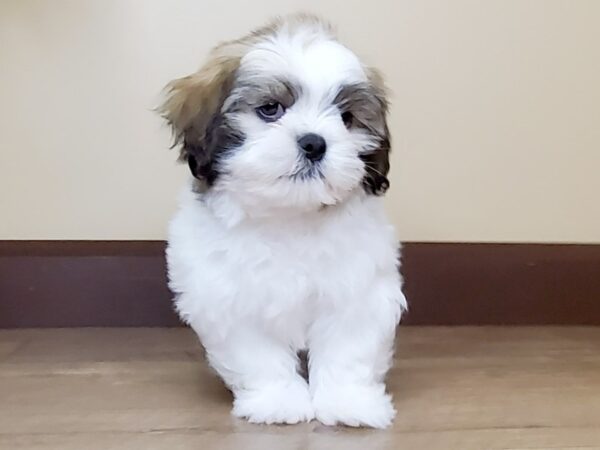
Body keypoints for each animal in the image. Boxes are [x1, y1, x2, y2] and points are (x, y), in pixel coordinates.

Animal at [161, 14, 408, 428]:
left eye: (346, 119)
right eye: (270, 109)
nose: (314, 143)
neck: (290, 215)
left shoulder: (356, 291)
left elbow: (348, 349)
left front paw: (348, 401)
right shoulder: (229, 297)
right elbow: (258, 355)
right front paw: (278, 400)